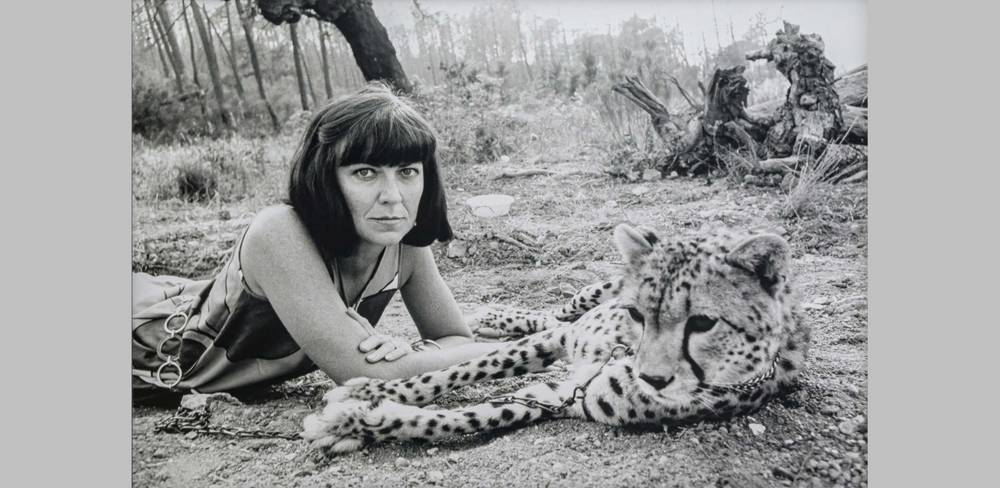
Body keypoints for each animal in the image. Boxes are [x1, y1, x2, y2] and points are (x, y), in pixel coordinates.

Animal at [301, 223, 810, 455]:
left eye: (703, 323)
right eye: (637, 313)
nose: (652, 377)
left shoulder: (563, 395)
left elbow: (467, 416)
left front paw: (352, 424)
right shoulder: (564, 338)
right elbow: (467, 368)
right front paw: (370, 390)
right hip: (587, 297)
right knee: (552, 311)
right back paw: (498, 317)